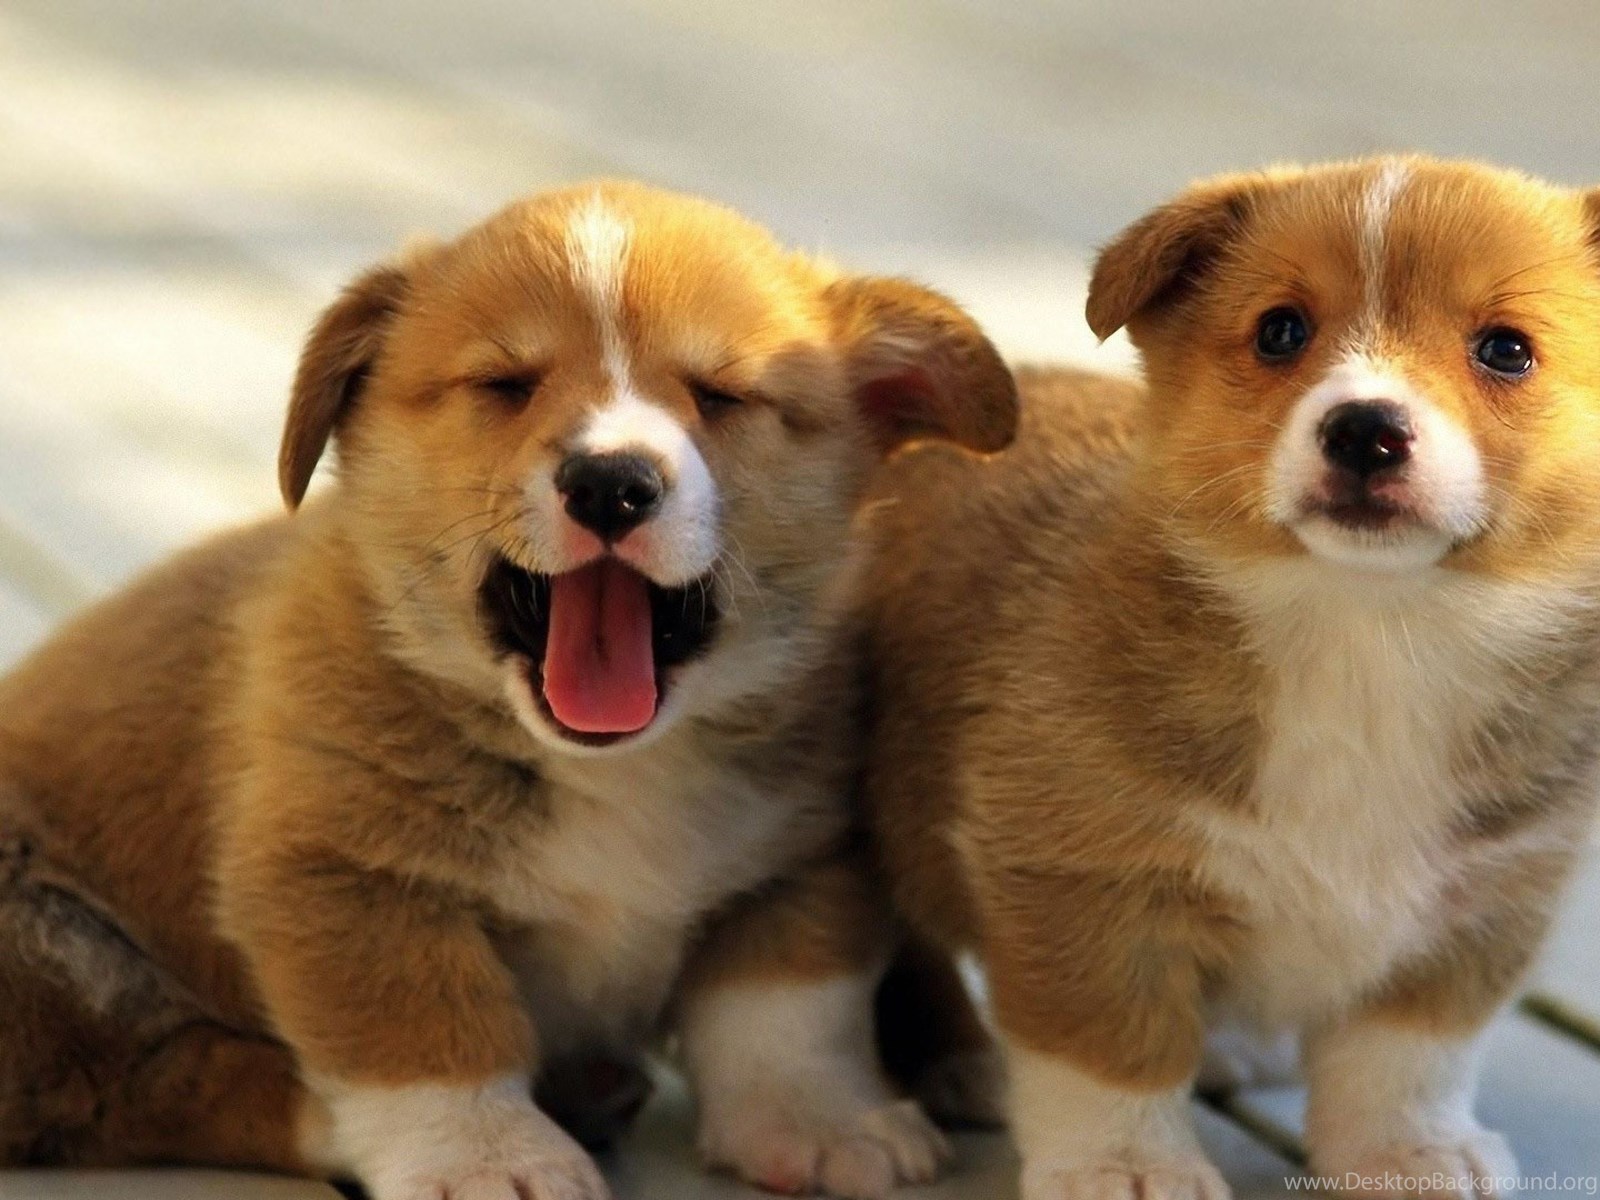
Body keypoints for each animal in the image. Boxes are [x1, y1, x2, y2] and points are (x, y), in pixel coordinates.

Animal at [0, 180, 1018, 1200]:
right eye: (506, 385)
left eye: (720, 396)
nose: (610, 484)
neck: (614, 767)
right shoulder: (345, 877)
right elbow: (431, 1035)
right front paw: (490, 1158)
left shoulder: (801, 865)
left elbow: (785, 1014)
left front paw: (817, 1122)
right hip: (42, 941)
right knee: (132, 1084)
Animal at [862, 156, 1600, 1199]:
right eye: (1280, 330)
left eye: (1506, 350)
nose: (1365, 431)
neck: (1370, 639)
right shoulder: (1081, 883)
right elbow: (1113, 1052)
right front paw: (1127, 1167)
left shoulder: (1484, 902)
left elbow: (1408, 1058)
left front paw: (1411, 1154)